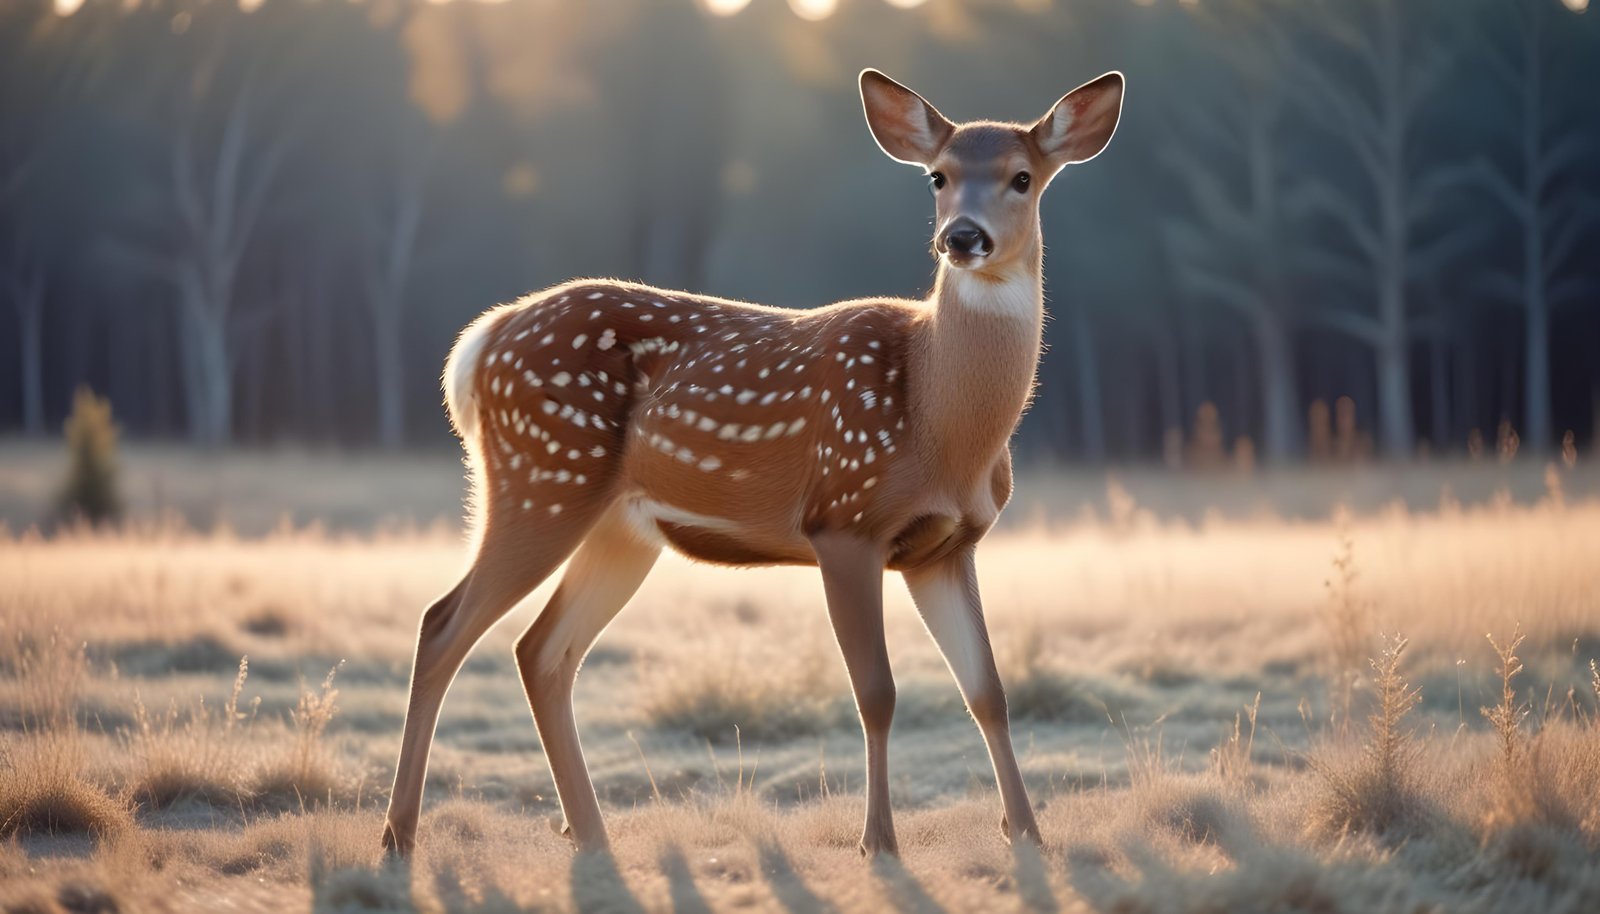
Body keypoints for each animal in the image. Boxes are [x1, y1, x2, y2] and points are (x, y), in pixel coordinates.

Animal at [381, 67, 1125, 859]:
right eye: (938, 176)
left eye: (1022, 177)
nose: (961, 237)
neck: (938, 420)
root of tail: (476, 346)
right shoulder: (843, 519)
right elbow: (876, 692)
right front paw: (878, 843)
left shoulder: (946, 548)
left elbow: (987, 690)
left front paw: (1029, 834)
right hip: (544, 475)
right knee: (443, 624)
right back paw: (400, 836)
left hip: (619, 525)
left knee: (541, 651)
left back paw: (592, 835)